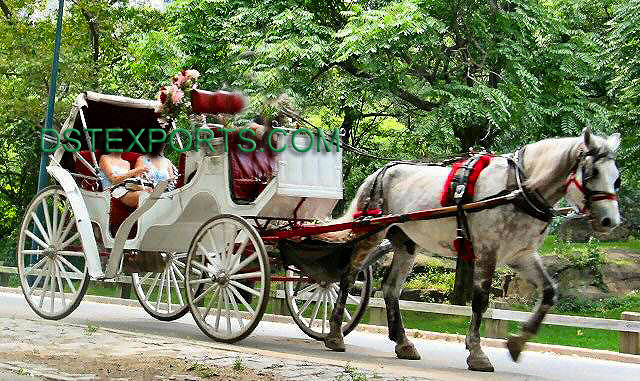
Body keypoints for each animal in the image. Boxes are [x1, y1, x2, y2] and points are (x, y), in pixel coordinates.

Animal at [320, 127, 620, 372]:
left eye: (616, 178)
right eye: (592, 173)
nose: (611, 221)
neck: (517, 187)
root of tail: (378, 173)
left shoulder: (520, 255)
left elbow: (548, 292)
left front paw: (518, 342)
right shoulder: (487, 251)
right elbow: (481, 301)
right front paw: (477, 353)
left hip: (404, 242)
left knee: (390, 287)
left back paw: (403, 342)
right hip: (372, 232)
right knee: (349, 274)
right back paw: (334, 333)